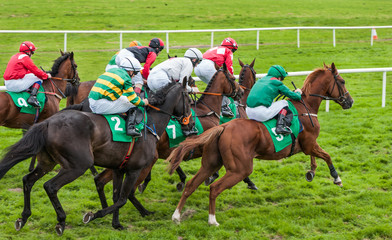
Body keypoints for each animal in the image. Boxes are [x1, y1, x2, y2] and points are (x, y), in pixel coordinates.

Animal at [0, 79, 194, 235]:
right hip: (77, 165)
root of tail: (48, 122)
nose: (191, 124)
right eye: (190, 101)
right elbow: (122, 199)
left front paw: (116, 224)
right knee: (50, 186)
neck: (149, 125)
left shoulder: (118, 169)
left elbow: (116, 197)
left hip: (47, 162)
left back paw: (23, 218)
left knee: (28, 180)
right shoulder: (134, 170)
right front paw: (93, 215)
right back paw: (61, 220)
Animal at [167, 62, 354, 226]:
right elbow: (327, 156)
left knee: (191, 185)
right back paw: (212, 220)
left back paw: (176, 216)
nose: (350, 101)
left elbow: (316, 157)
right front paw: (336, 178)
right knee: (214, 188)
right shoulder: (309, 143)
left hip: (211, 163)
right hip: (240, 169)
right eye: (342, 81)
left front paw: (311, 172)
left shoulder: (308, 145)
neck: (305, 107)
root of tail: (224, 127)